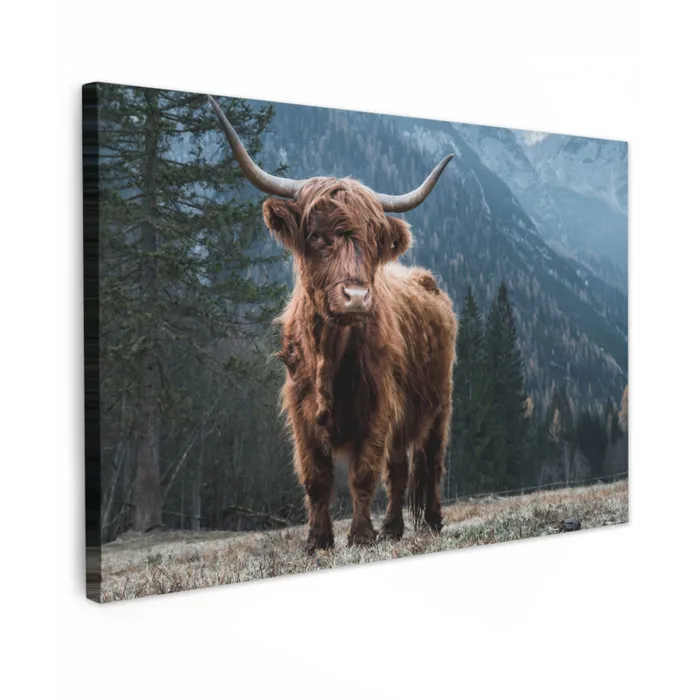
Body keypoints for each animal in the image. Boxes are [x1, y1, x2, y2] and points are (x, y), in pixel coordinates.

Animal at [209, 96, 458, 553]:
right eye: (316, 235)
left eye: (374, 240)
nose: (357, 297)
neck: (330, 351)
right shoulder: (300, 411)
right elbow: (316, 478)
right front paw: (318, 541)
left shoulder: (378, 406)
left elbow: (363, 474)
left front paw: (360, 536)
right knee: (399, 469)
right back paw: (393, 528)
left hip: (439, 404)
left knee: (430, 462)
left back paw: (429, 522)